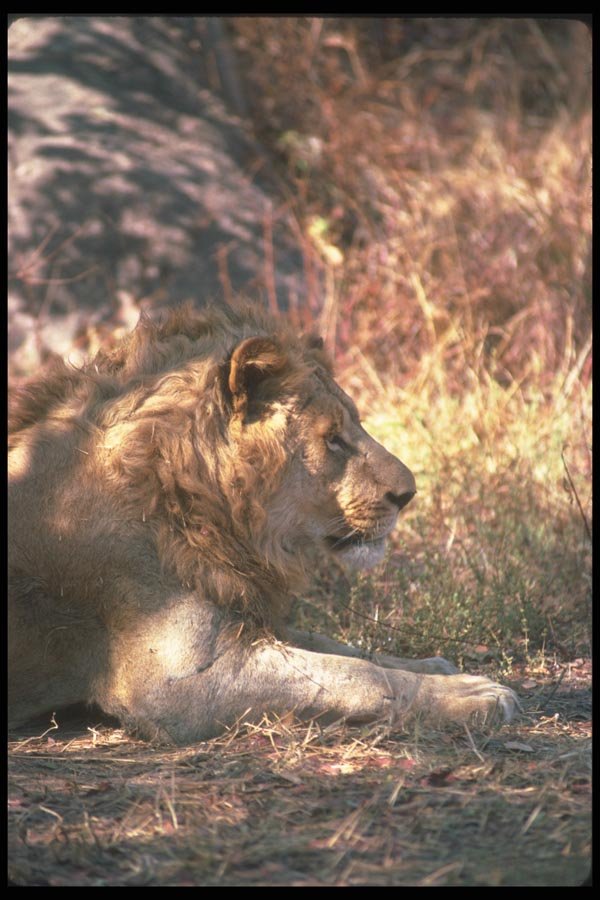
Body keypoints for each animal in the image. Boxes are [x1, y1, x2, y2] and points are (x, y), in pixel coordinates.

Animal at [8, 301, 519, 743]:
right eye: (333, 439)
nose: (408, 494)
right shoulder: (181, 684)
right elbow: (360, 678)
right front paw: (473, 695)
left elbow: (346, 648)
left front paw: (438, 666)